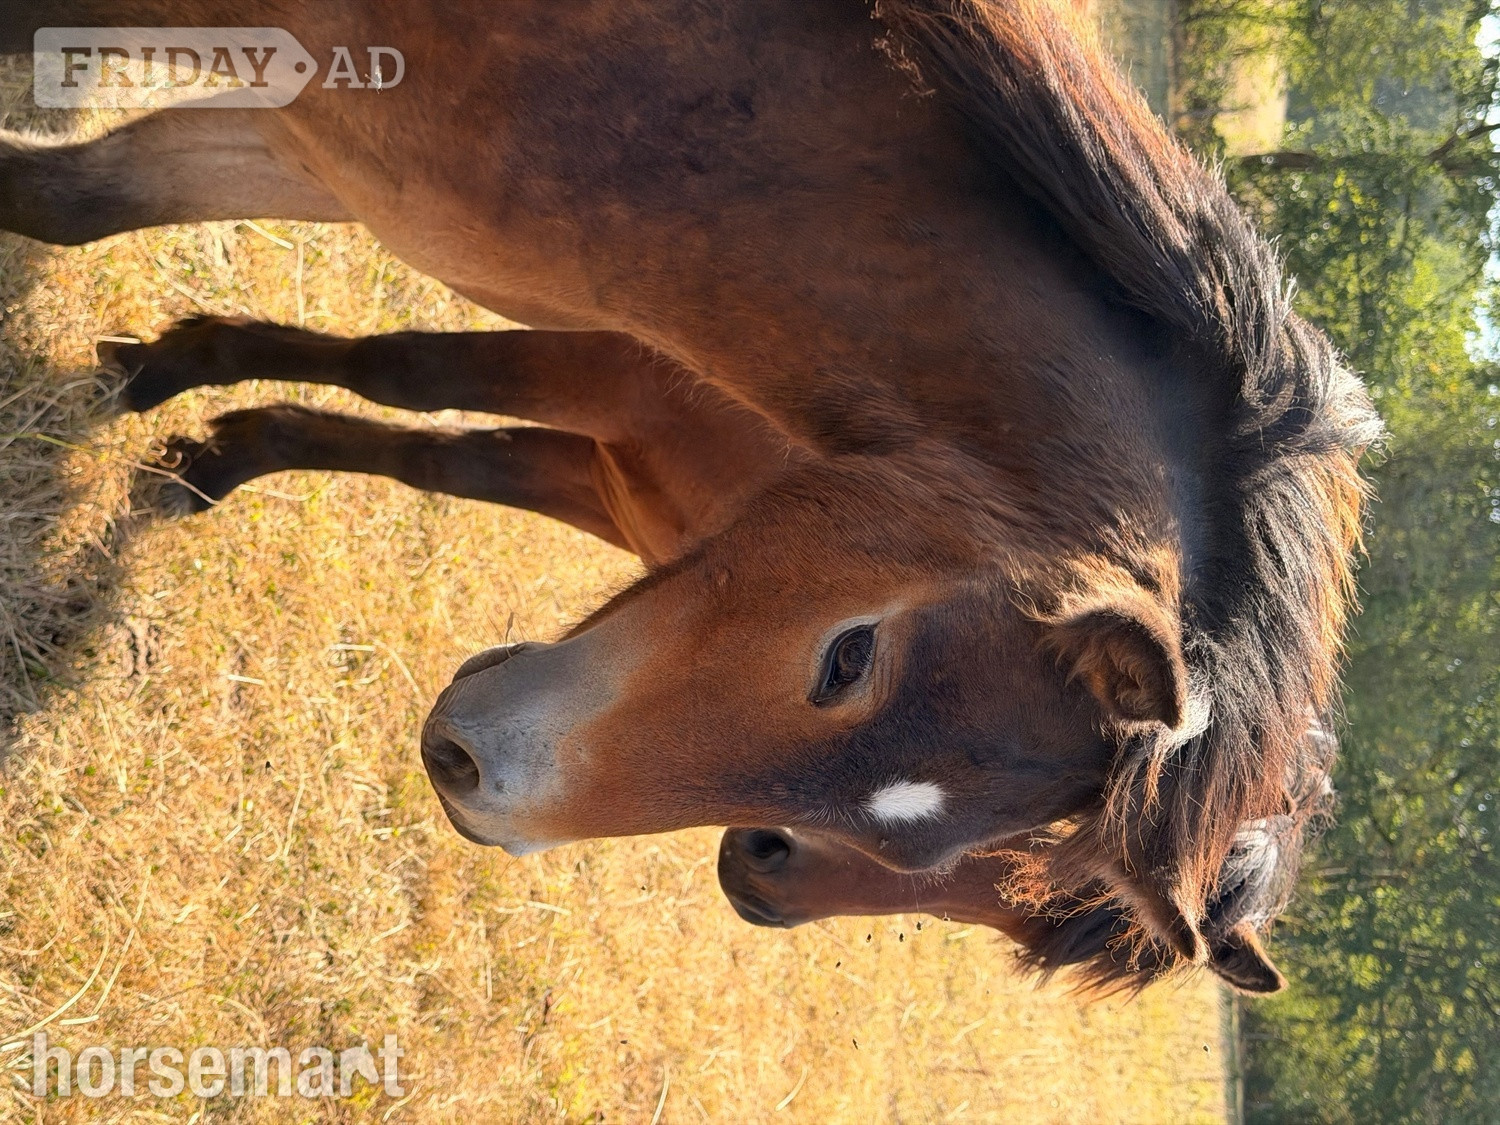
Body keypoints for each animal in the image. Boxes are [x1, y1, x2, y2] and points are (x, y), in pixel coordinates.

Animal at [0, 0, 1379, 969]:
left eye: (1000, 870)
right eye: (847, 658)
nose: (471, 778)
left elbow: (84, 204)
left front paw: (195, 419)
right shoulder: (603, 367)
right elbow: (405, 372)